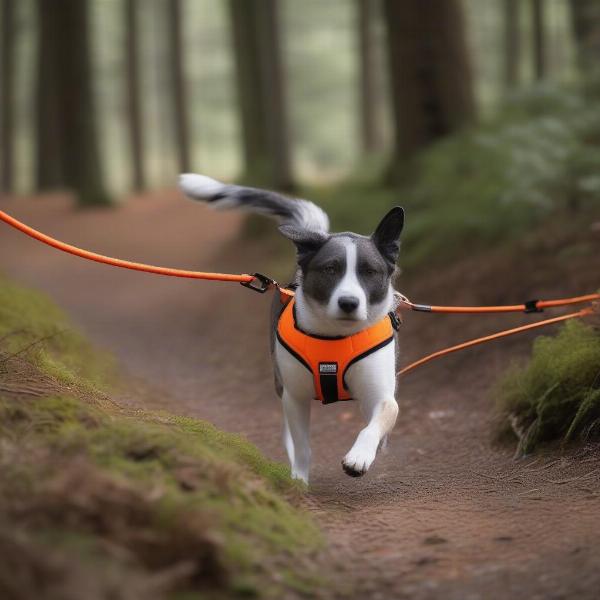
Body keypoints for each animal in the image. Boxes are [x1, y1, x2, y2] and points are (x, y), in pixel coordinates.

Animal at [178, 173, 404, 482]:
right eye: (330, 269)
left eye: (370, 272)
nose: (348, 302)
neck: (335, 335)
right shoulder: (295, 395)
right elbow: (302, 445)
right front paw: (299, 480)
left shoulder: (378, 393)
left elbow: (383, 414)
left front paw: (360, 456)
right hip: (279, 378)